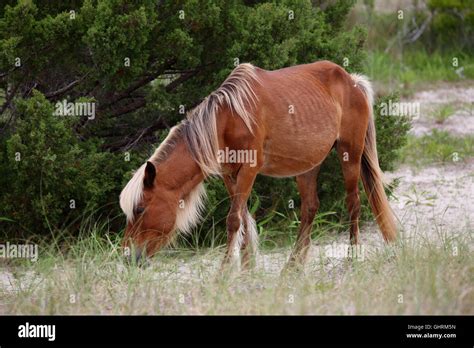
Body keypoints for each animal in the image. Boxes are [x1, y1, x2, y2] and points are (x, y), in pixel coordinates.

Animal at [118, 60, 396, 270]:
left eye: (140, 209)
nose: (127, 256)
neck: (227, 118)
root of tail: (352, 81)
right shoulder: (230, 175)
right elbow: (242, 218)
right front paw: (246, 270)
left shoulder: (249, 170)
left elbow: (233, 220)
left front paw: (224, 273)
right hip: (308, 167)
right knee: (309, 209)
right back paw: (292, 267)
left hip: (350, 154)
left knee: (354, 204)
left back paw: (352, 259)